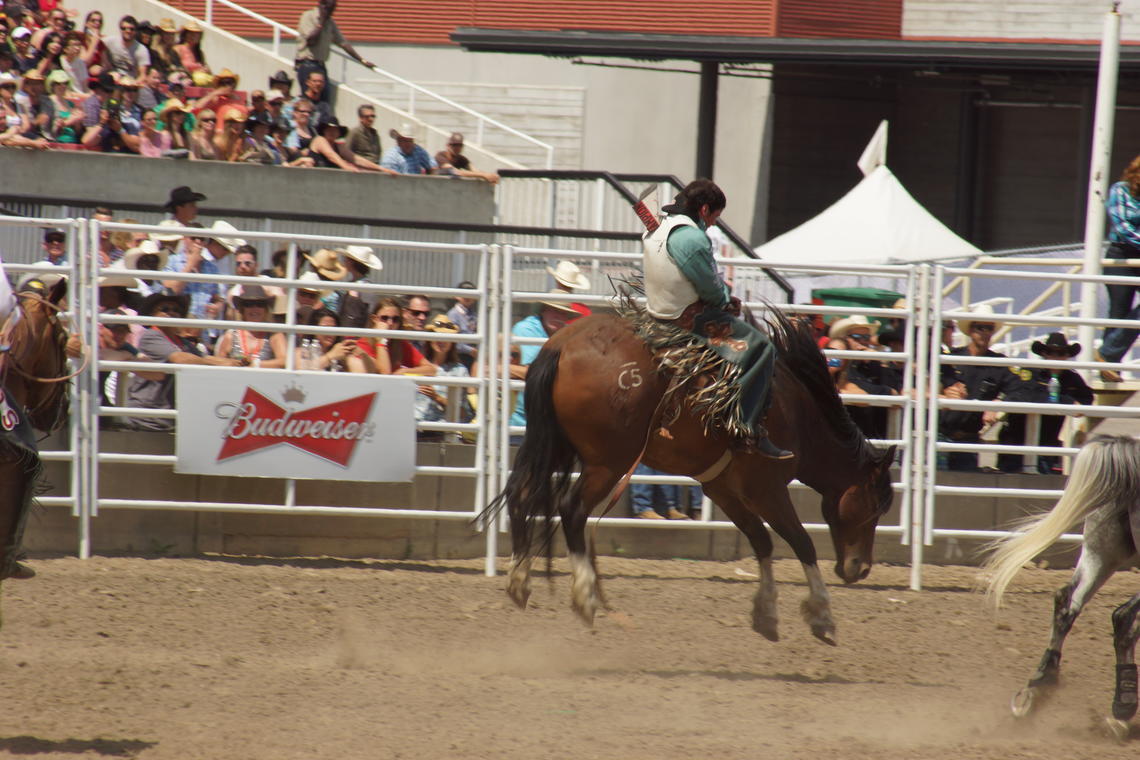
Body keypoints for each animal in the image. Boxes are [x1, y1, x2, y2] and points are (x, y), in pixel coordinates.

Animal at [485, 305, 893, 647]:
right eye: (875, 507)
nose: (861, 568)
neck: (796, 415)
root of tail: (562, 346)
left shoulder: (723, 488)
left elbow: (761, 542)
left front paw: (766, 614)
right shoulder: (767, 488)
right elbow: (801, 542)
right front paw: (822, 617)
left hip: (555, 443)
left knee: (522, 495)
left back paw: (519, 582)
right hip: (607, 464)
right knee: (571, 509)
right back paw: (585, 597)